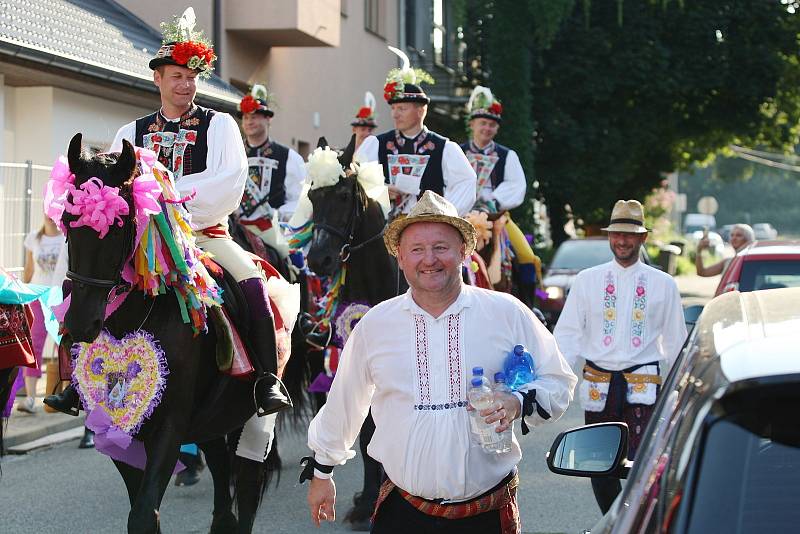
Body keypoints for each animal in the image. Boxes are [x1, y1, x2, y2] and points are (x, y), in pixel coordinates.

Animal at [59, 135, 278, 534]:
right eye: (68, 219)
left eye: (119, 223)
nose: (81, 324)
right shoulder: (119, 428)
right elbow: (143, 513)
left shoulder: (170, 427)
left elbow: (144, 514)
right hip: (211, 419)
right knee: (221, 471)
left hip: (253, 417)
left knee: (248, 480)